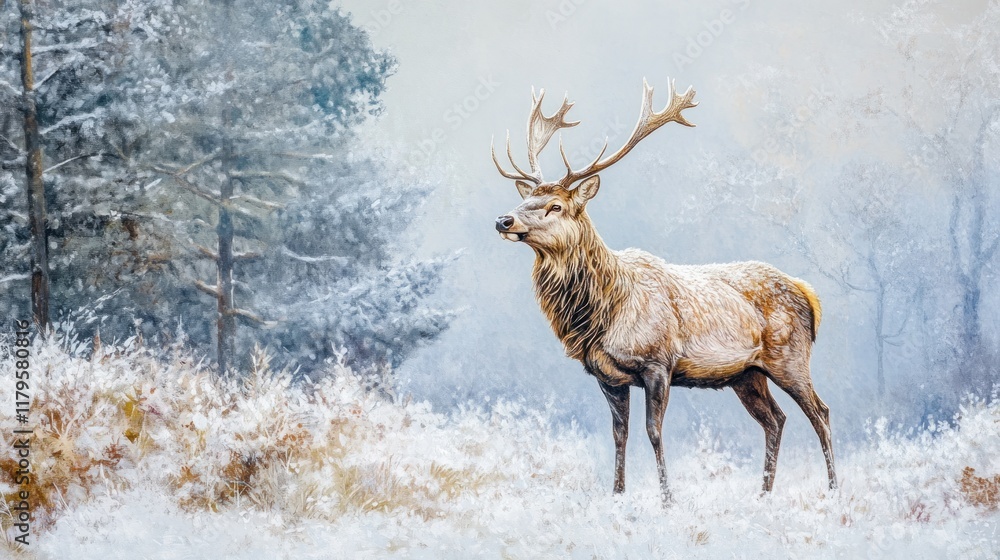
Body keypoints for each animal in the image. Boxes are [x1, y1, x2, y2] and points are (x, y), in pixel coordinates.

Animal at [491, 79, 836, 503]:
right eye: (526, 198)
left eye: (555, 206)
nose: (503, 220)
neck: (602, 312)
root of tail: (809, 294)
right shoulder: (607, 376)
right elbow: (619, 434)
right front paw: (617, 495)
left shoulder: (659, 362)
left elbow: (653, 432)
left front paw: (668, 499)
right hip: (746, 374)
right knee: (775, 419)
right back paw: (764, 493)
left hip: (790, 357)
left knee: (820, 412)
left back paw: (834, 489)